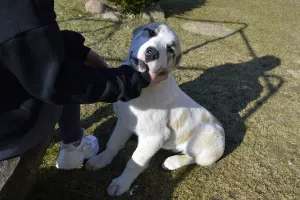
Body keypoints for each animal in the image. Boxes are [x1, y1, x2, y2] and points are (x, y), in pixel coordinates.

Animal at [84, 22, 225, 196]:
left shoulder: (153, 138)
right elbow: (113, 143)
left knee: (195, 157)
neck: (143, 90)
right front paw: (101, 160)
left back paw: (172, 162)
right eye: (151, 32)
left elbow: (135, 161)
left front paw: (122, 183)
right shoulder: (124, 122)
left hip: (209, 139)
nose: (152, 53)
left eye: (170, 49)